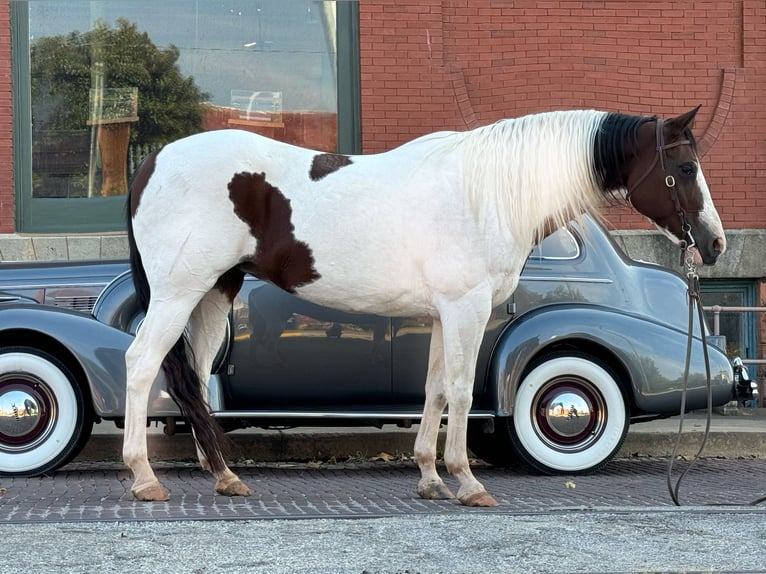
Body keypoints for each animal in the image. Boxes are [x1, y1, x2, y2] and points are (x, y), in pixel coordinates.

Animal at [124, 106, 728, 506]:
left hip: (212, 294)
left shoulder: (443, 314)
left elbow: (434, 389)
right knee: (142, 364)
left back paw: (223, 475)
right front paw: (468, 481)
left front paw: (431, 478)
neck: (487, 193)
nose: (716, 243)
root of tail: (153, 162)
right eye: (686, 167)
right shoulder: (467, 309)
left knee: (194, 379)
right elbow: (460, 391)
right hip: (179, 294)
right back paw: (144, 477)